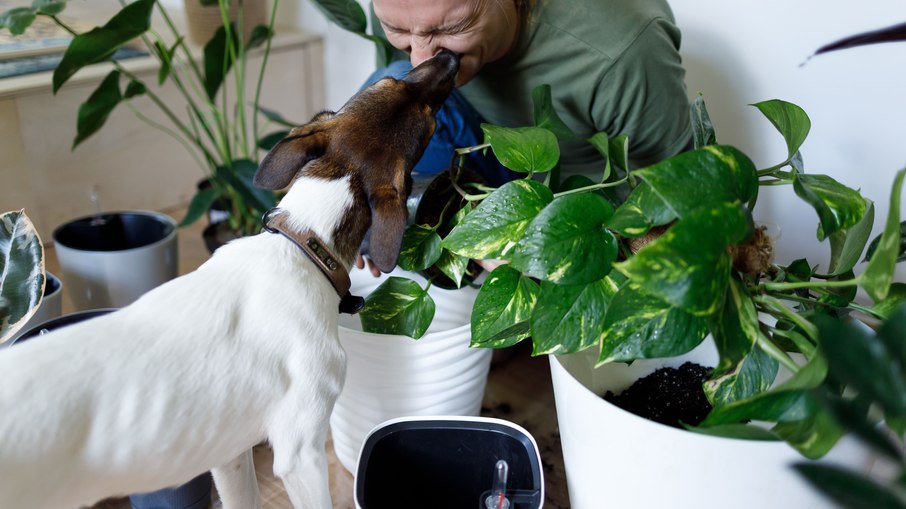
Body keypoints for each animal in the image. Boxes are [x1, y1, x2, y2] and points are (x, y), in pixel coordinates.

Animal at [0, 50, 460, 508]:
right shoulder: (301, 454)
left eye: (390, 83)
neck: (301, 245)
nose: (448, 56)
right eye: (427, 117)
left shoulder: (228, 454)